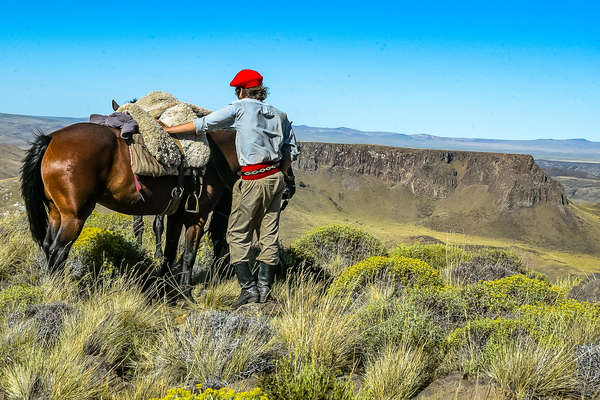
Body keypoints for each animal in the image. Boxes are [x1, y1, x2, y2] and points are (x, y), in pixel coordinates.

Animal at [21, 120, 241, 296]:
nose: (224, 271)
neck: (216, 157)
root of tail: (51, 139)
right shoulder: (197, 218)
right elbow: (189, 255)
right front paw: (186, 293)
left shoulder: (176, 216)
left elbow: (169, 252)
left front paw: (162, 286)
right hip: (74, 217)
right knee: (58, 251)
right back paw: (59, 290)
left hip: (56, 213)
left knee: (48, 246)